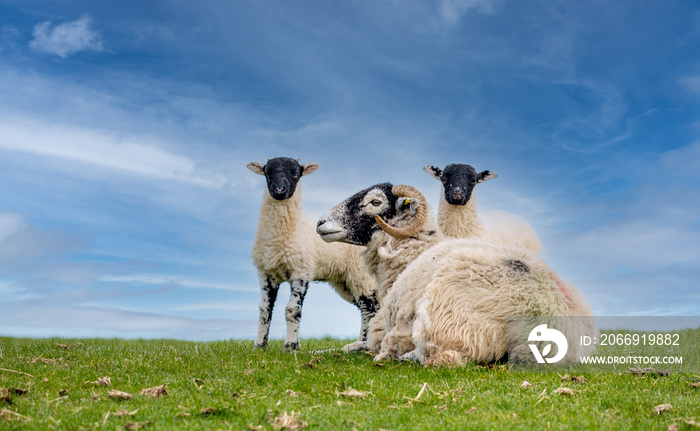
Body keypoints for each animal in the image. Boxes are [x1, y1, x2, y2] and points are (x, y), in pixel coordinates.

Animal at [246, 157, 378, 352]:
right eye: (267, 172)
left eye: (295, 173)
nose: (279, 190)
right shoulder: (266, 273)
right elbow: (264, 309)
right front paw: (259, 346)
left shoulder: (301, 272)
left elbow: (292, 309)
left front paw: (291, 346)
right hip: (345, 282)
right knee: (365, 309)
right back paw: (360, 343)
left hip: (361, 275)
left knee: (371, 308)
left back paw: (365, 345)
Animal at [318, 184, 596, 366]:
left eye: (375, 202)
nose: (320, 222)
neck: (411, 254)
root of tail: (543, 310)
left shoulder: (383, 328)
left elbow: (365, 343)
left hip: (448, 322)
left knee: (441, 356)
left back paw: (405, 356)